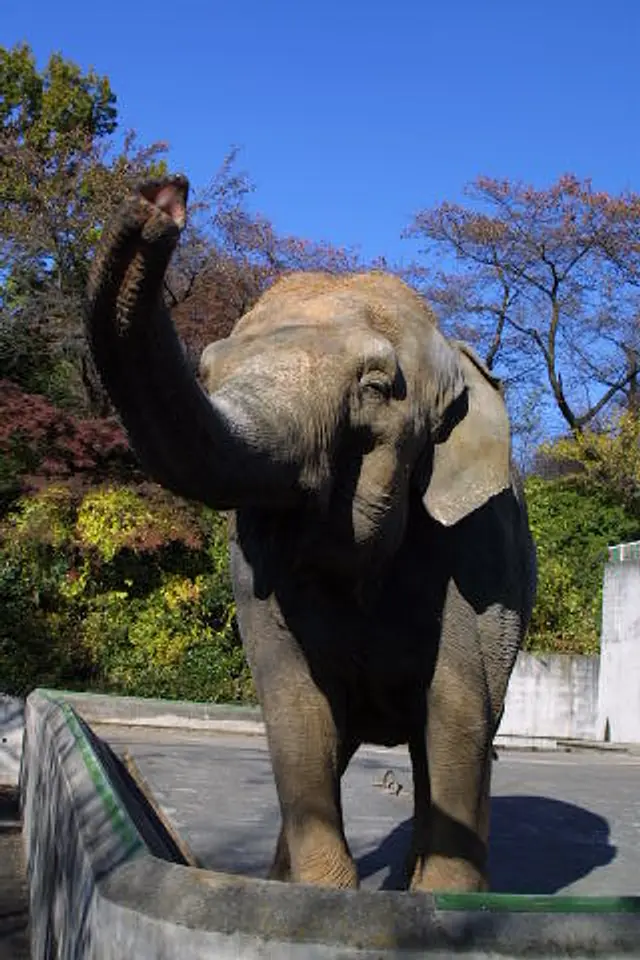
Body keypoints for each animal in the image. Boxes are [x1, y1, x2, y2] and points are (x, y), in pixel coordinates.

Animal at [84, 172, 536, 892]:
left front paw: (447, 904)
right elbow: (296, 709)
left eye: (377, 387)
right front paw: (317, 896)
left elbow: (457, 708)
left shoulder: (478, 551)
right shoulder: (254, 578)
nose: (166, 195)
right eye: (206, 372)